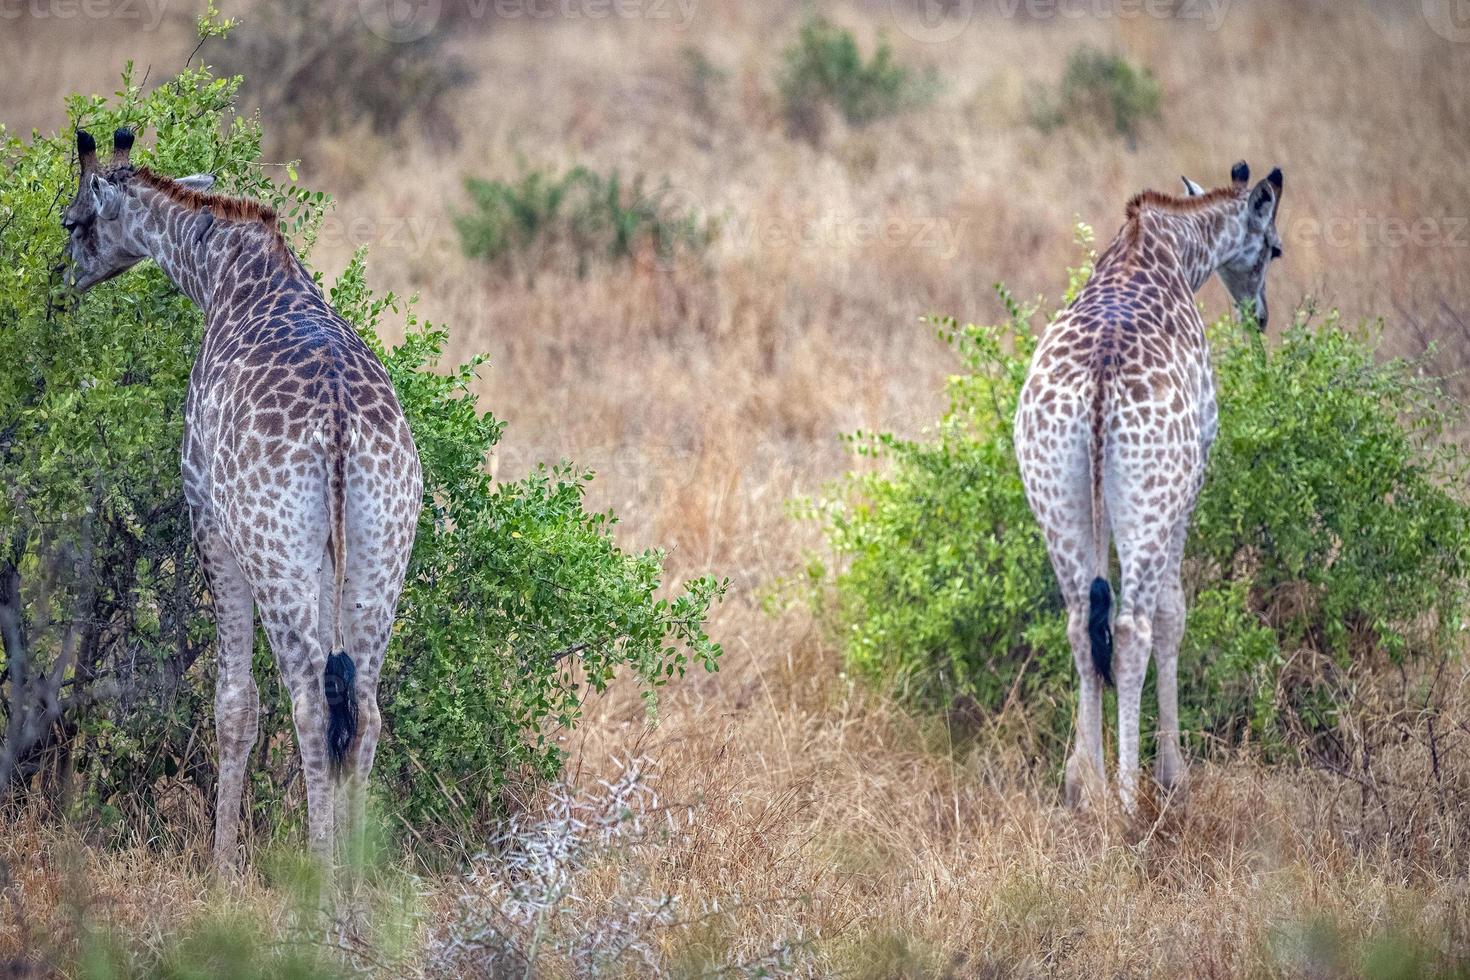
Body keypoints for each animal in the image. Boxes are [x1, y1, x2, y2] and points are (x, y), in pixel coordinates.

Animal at [63, 128, 420, 863]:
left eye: (73, 221)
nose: (65, 275)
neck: (220, 271)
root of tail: (341, 426)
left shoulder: (206, 511)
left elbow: (234, 701)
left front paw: (222, 868)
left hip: (272, 550)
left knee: (309, 702)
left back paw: (319, 879)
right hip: (380, 552)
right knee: (363, 708)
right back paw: (356, 880)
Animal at [1017, 157, 1281, 811]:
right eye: (1275, 248)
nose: (1261, 314)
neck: (1169, 247)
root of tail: (1099, 386)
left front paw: (1081, 773)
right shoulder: (1195, 476)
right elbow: (1173, 611)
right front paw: (1172, 773)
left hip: (1053, 491)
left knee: (1080, 624)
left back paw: (1087, 788)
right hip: (1153, 496)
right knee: (1132, 626)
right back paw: (1132, 799)